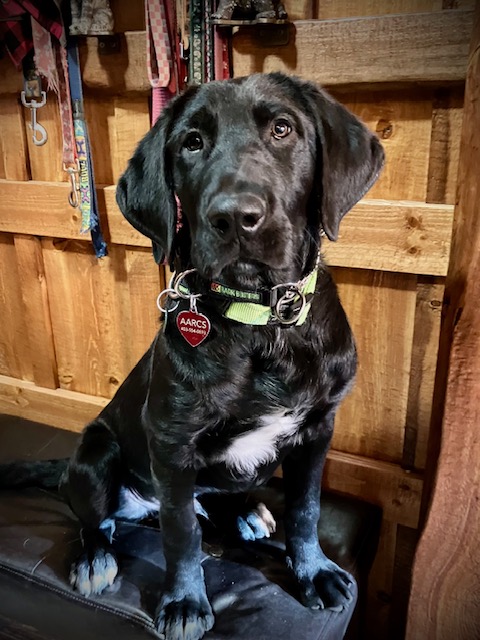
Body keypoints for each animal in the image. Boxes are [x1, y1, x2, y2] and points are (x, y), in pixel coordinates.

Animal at [0, 73, 384, 640]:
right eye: (192, 143)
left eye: (283, 129)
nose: (235, 218)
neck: (261, 325)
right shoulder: (172, 443)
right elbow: (181, 535)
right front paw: (184, 602)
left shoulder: (318, 429)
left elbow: (307, 510)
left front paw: (313, 571)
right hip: (95, 455)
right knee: (103, 518)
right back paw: (94, 557)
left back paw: (245, 513)